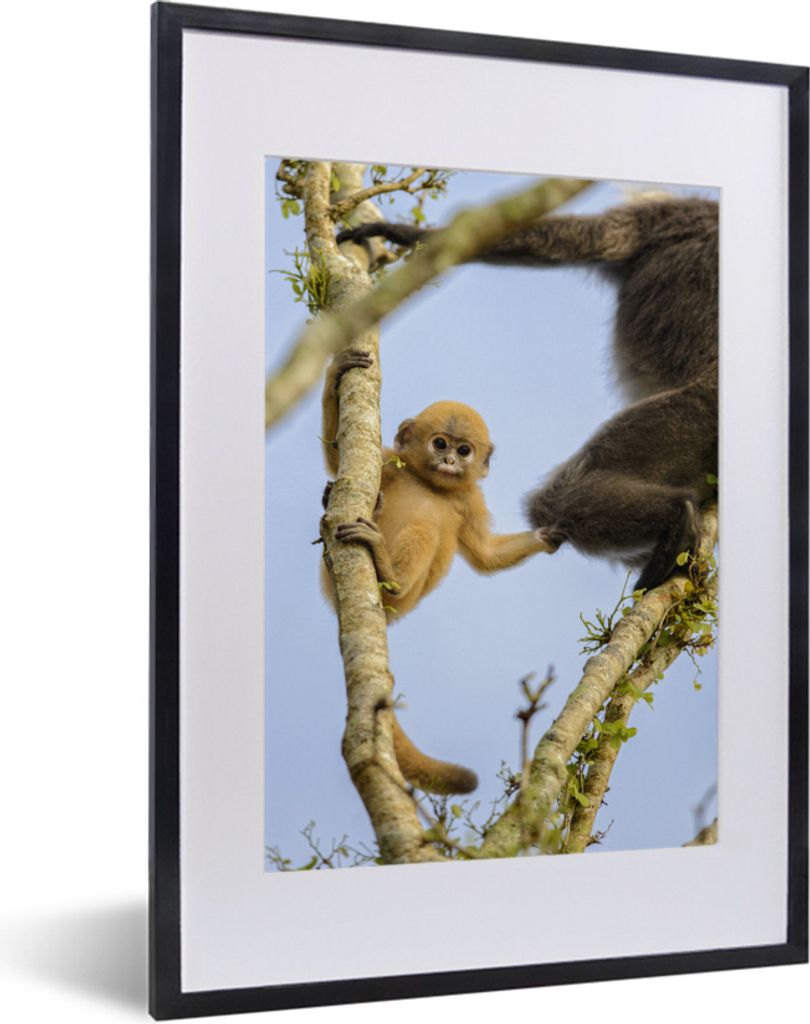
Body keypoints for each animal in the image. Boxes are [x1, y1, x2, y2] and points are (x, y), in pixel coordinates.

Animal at [321, 349, 552, 793]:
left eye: (464, 451)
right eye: (440, 443)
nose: (447, 460)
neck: (433, 485)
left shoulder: (469, 499)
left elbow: (486, 555)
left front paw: (548, 536)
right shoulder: (391, 464)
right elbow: (339, 462)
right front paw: (336, 374)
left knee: (426, 531)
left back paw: (387, 573)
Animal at [337, 195, 719, 592]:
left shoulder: (665, 214)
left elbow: (566, 238)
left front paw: (401, 231)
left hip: (688, 414)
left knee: (555, 501)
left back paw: (676, 520)